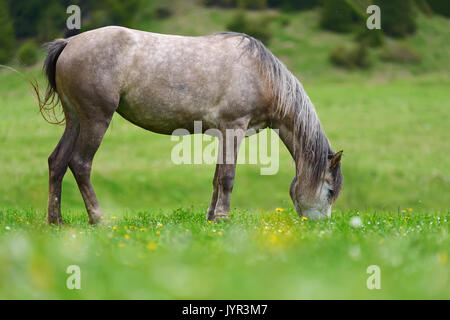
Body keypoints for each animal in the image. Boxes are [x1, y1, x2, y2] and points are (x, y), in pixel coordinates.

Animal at [34, 26, 342, 224]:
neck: (260, 75)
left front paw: (211, 217)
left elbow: (217, 178)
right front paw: (223, 218)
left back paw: (55, 220)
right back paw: (97, 219)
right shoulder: (234, 128)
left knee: (57, 162)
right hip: (96, 119)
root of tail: (69, 44)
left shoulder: (223, 133)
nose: (322, 227)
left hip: (76, 120)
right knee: (80, 163)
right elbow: (228, 177)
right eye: (329, 191)